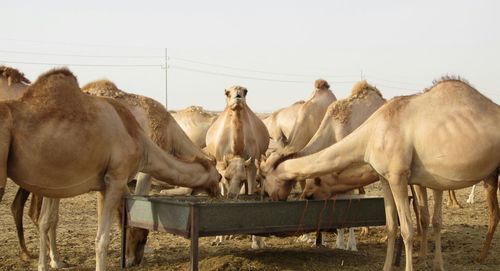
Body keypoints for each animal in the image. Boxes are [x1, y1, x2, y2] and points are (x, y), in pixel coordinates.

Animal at [0, 68, 220, 271]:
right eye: (218, 177)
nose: (218, 194)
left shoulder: (90, 183)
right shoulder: (116, 177)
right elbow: (103, 238)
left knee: (40, 216)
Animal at [264, 76, 498, 271]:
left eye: (264, 177)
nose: (271, 196)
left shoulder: (398, 175)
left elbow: (407, 228)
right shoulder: (385, 177)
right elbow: (392, 226)